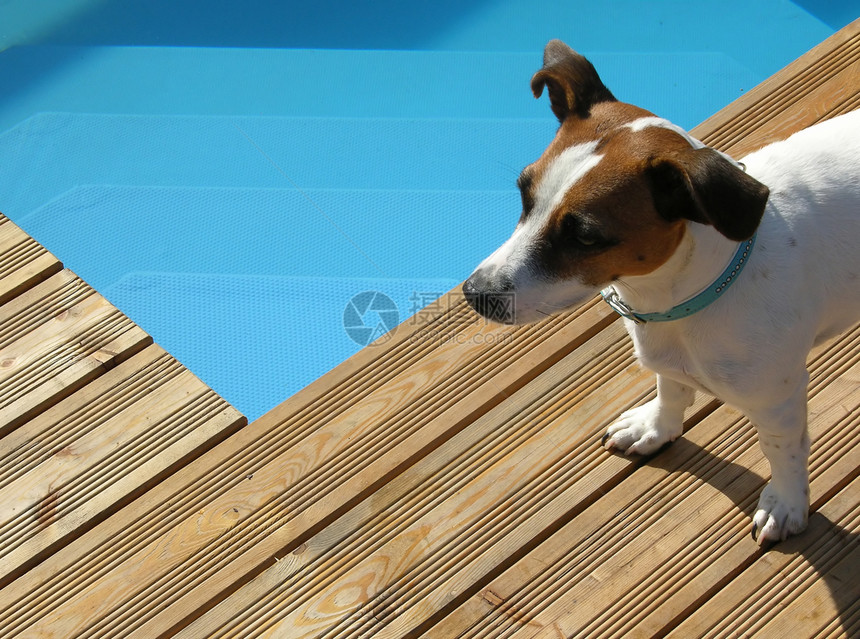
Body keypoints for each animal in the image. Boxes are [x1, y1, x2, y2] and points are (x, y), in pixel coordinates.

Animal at [464, 40, 860, 544]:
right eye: (523, 193)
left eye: (585, 236)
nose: (475, 293)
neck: (676, 303)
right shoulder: (668, 360)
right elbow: (670, 393)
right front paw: (656, 428)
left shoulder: (778, 399)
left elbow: (782, 453)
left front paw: (787, 503)